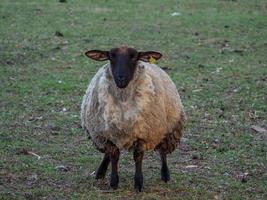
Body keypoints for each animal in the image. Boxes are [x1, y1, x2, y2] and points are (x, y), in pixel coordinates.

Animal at [81, 45, 186, 192]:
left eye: (134, 57)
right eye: (111, 56)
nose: (121, 78)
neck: (123, 100)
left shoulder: (143, 134)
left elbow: (138, 157)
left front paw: (138, 184)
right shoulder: (108, 133)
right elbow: (114, 156)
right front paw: (114, 183)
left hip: (167, 128)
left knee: (163, 152)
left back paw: (165, 175)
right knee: (108, 153)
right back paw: (100, 172)